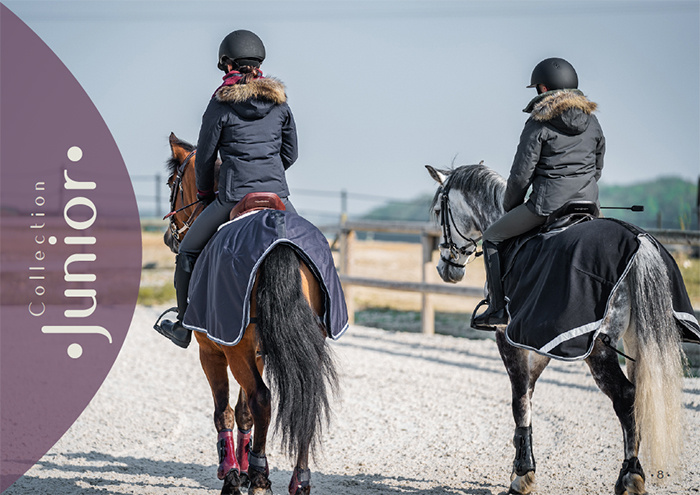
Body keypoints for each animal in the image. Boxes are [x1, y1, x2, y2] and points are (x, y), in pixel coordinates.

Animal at [164, 133, 340, 495]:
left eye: (173, 182)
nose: (167, 236)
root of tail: (278, 241)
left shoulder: (214, 350)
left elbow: (225, 411)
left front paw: (232, 475)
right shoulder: (255, 351)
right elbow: (244, 411)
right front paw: (243, 470)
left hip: (233, 348)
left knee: (263, 398)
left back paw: (258, 478)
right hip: (299, 344)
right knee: (304, 399)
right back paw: (296, 480)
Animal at [424, 166, 692, 495]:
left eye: (439, 211)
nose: (446, 269)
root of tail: (639, 244)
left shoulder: (507, 335)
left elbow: (519, 397)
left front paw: (522, 475)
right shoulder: (543, 341)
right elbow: (529, 390)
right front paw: (523, 465)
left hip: (599, 348)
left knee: (626, 396)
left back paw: (630, 477)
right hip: (635, 340)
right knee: (638, 394)